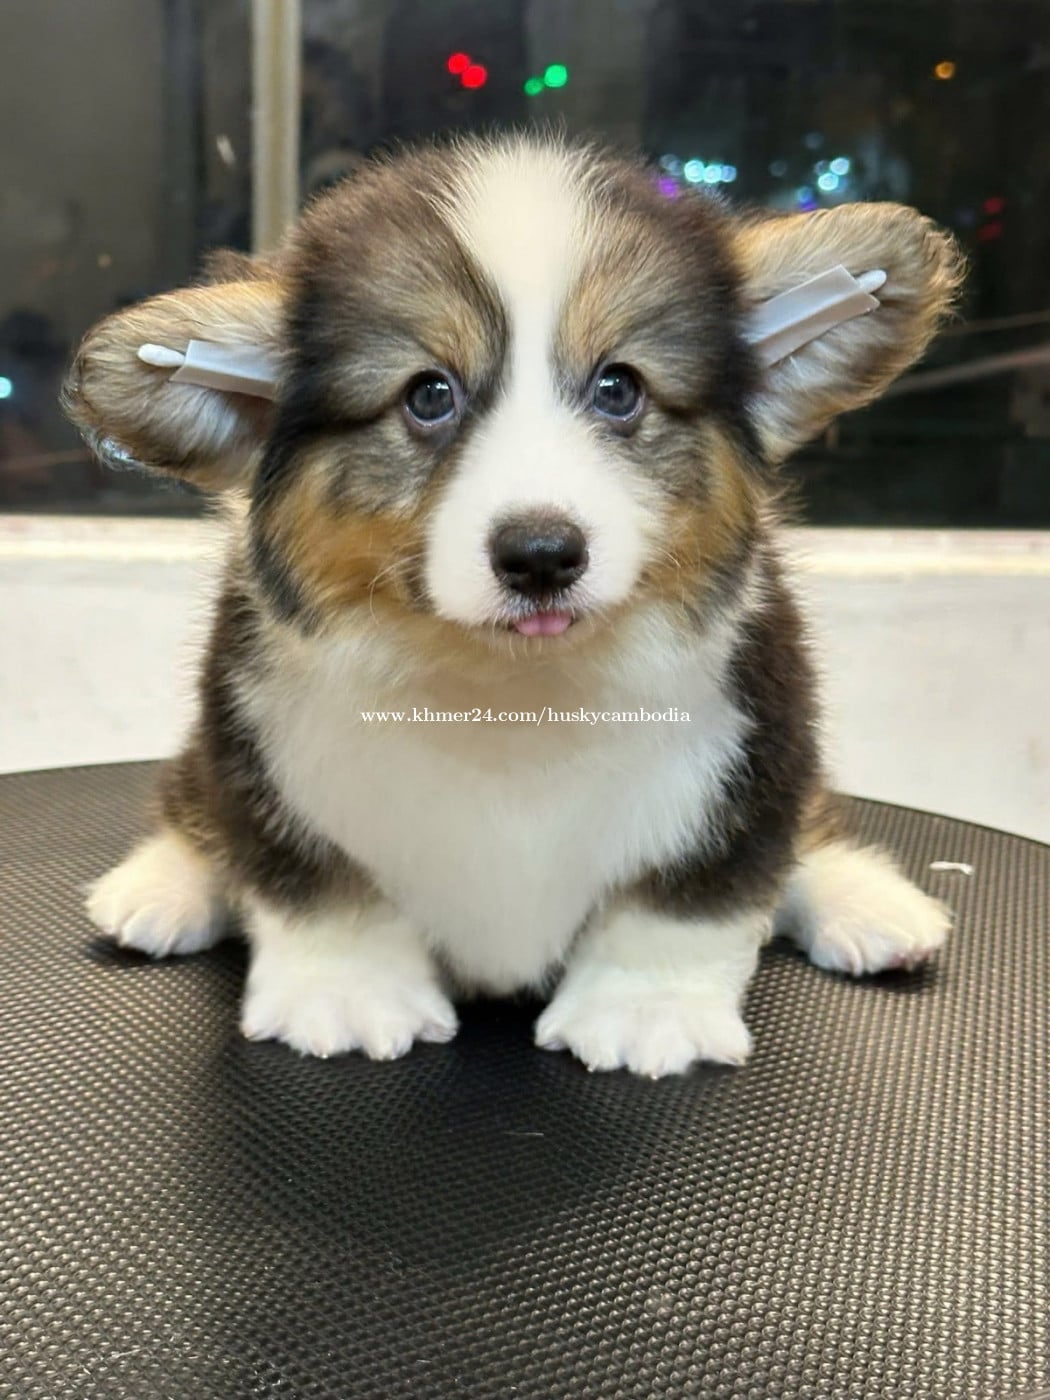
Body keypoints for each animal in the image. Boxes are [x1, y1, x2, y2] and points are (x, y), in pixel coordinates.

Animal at [64, 135, 961, 1077]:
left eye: (618, 388)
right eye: (428, 394)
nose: (541, 555)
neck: (512, 690)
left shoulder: (754, 757)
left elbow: (686, 901)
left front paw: (647, 1012)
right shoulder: (262, 758)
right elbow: (321, 889)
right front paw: (346, 994)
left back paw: (869, 902)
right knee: (189, 802)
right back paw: (161, 887)